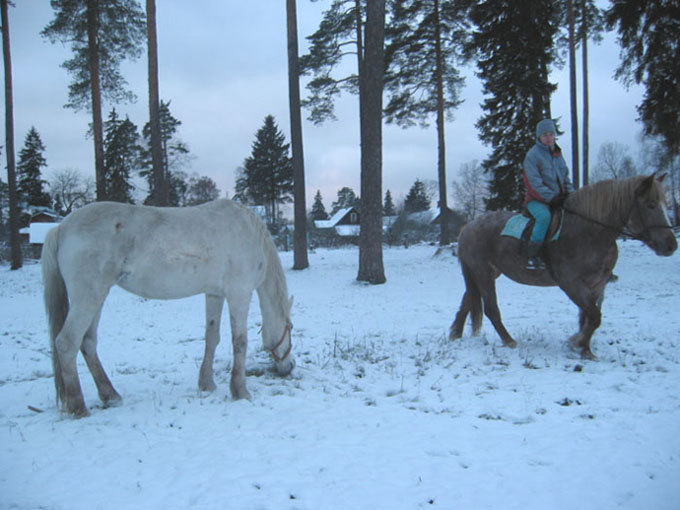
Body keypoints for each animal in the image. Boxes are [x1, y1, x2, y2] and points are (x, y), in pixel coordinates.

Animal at [43, 197, 294, 416]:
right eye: (290, 327)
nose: (289, 368)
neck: (250, 233)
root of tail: (61, 228)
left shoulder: (214, 294)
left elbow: (212, 337)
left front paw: (206, 383)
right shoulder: (239, 293)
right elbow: (240, 342)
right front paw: (240, 391)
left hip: (97, 298)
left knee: (87, 342)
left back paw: (110, 395)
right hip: (88, 297)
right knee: (67, 343)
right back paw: (79, 407)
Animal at [448, 174, 676, 358]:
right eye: (651, 205)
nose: (671, 245)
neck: (590, 231)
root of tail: (468, 227)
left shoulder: (596, 286)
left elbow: (587, 318)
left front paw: (585, 350)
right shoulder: (571, 284)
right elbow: (594, 317)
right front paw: (577, 342)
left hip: (485, 273)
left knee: (467, 300)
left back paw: (455, 335)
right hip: (483, 272)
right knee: (491, 309)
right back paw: (509, 341)